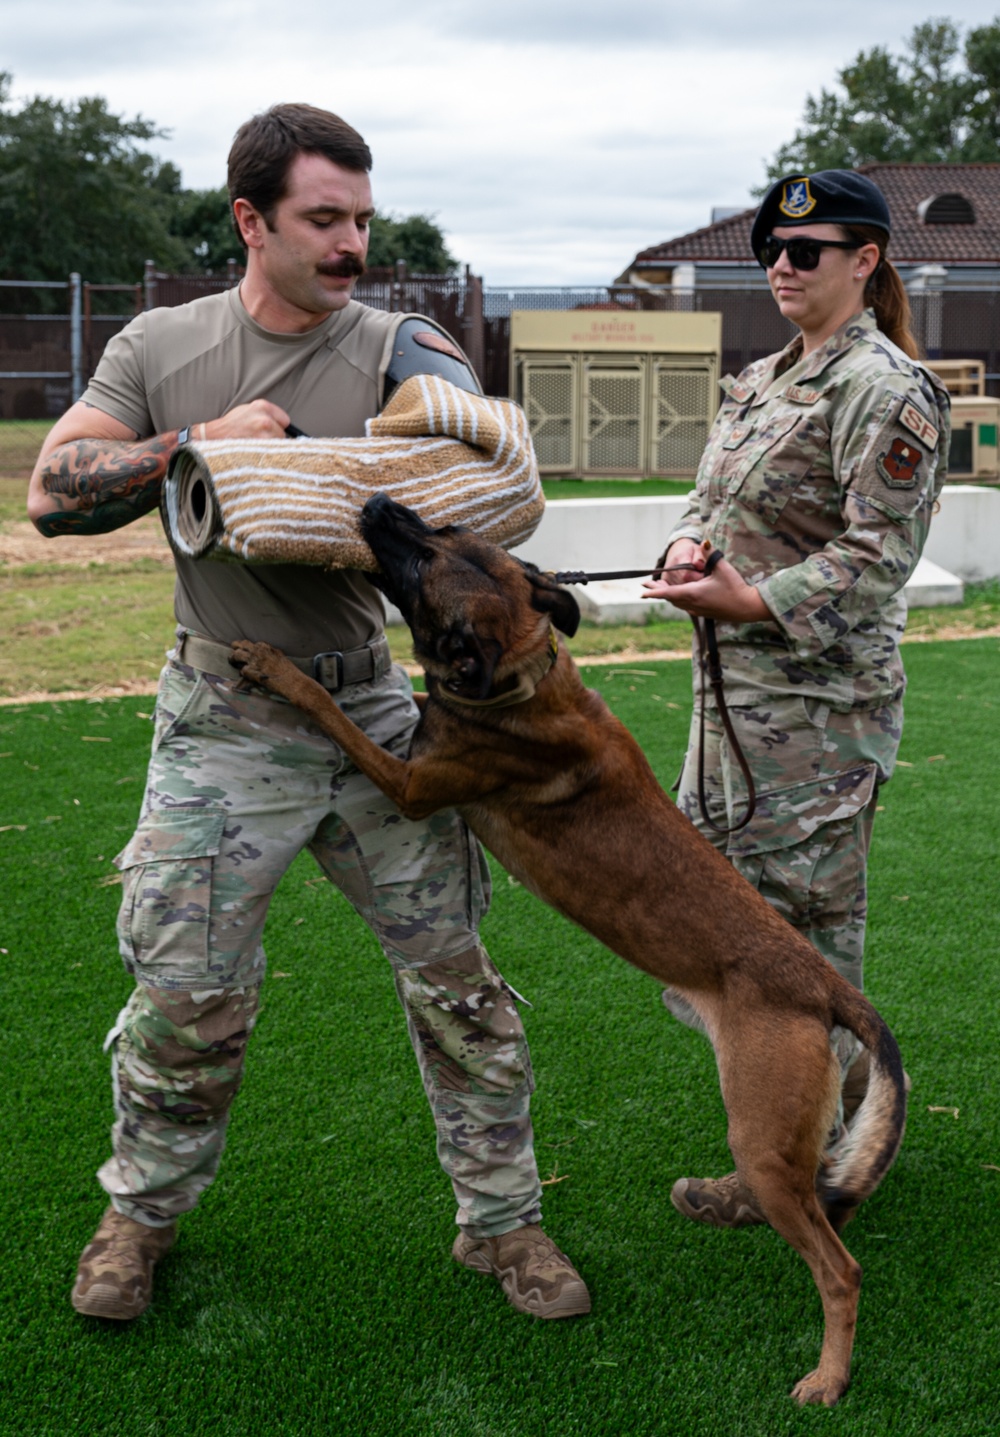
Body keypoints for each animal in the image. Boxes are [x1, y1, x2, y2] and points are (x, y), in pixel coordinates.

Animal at [232, 491, 908, 1402]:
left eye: (420, 562)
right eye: (444, 533)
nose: (377, 502)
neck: (523, 677)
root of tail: (826, 984)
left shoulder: (410, 783)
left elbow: (334, 709)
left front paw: (276, 667)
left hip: (762, 1138)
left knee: (841, 1270)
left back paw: (828, 1375)